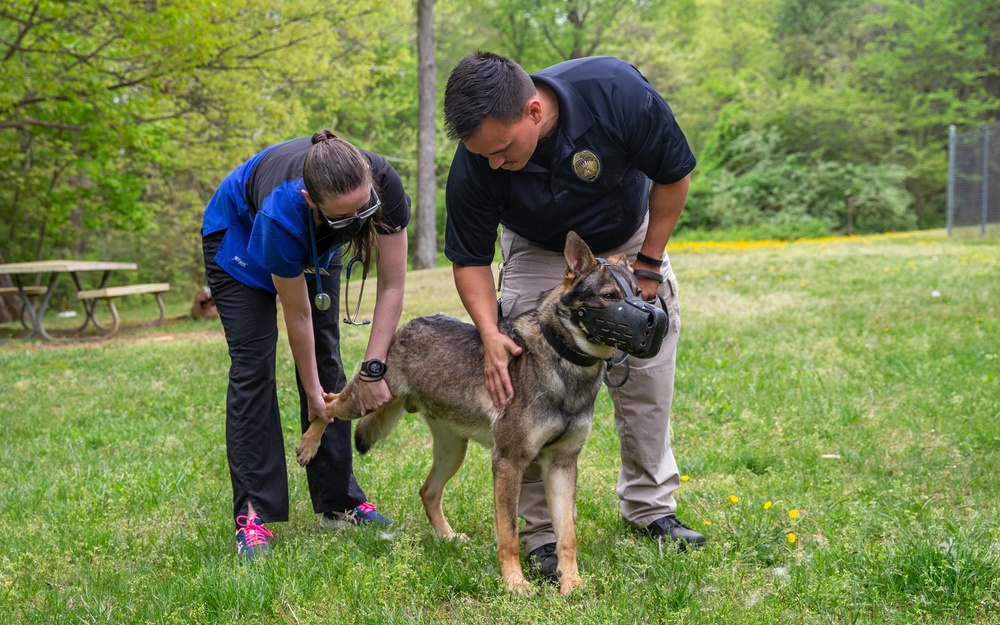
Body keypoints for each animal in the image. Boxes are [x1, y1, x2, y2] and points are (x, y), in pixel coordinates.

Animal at [292, 230, 644, 596]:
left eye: (639, 293)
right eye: (609, 296)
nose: (651, 318)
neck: (563, 362)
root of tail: (405, 326)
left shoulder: (562, 465)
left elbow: (567, 535)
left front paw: (571, 582)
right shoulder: (509, 463)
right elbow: (509, 535)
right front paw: (515, 584)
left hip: (452, 451)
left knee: (428, 491)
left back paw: (446, 537)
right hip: (364, 399)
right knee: (327, 403)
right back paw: (307, 445)